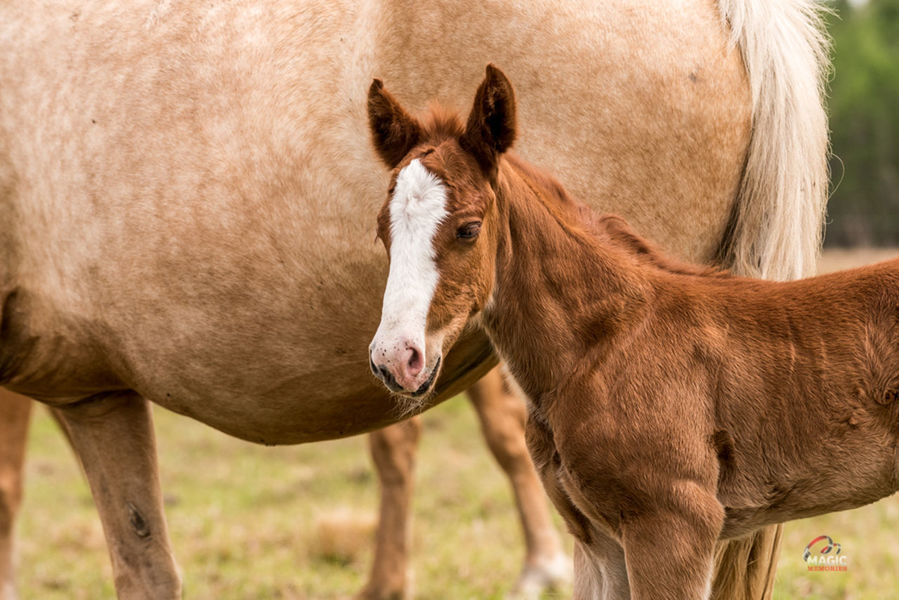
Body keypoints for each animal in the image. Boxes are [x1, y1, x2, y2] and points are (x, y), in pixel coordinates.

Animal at [368, 65, 899, 600]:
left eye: (469, 229)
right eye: (381, 229)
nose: (396, 357)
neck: (602, 345)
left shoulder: (674, 524)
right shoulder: (598, 540)